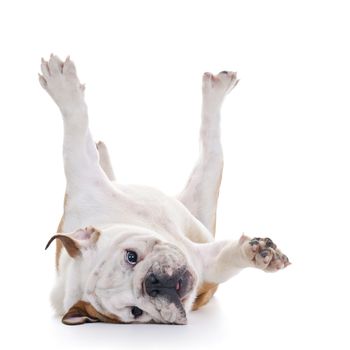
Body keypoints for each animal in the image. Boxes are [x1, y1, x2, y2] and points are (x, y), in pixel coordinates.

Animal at [39, 54, 290, 326]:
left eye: (131, 256)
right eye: (135, 311)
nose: (154, 284)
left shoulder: (83, 180)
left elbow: (74, 133)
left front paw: (63, 85)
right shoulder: (205, 265)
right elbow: (224, 259)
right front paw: (254, 253)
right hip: (202, 200)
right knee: (211, 155)